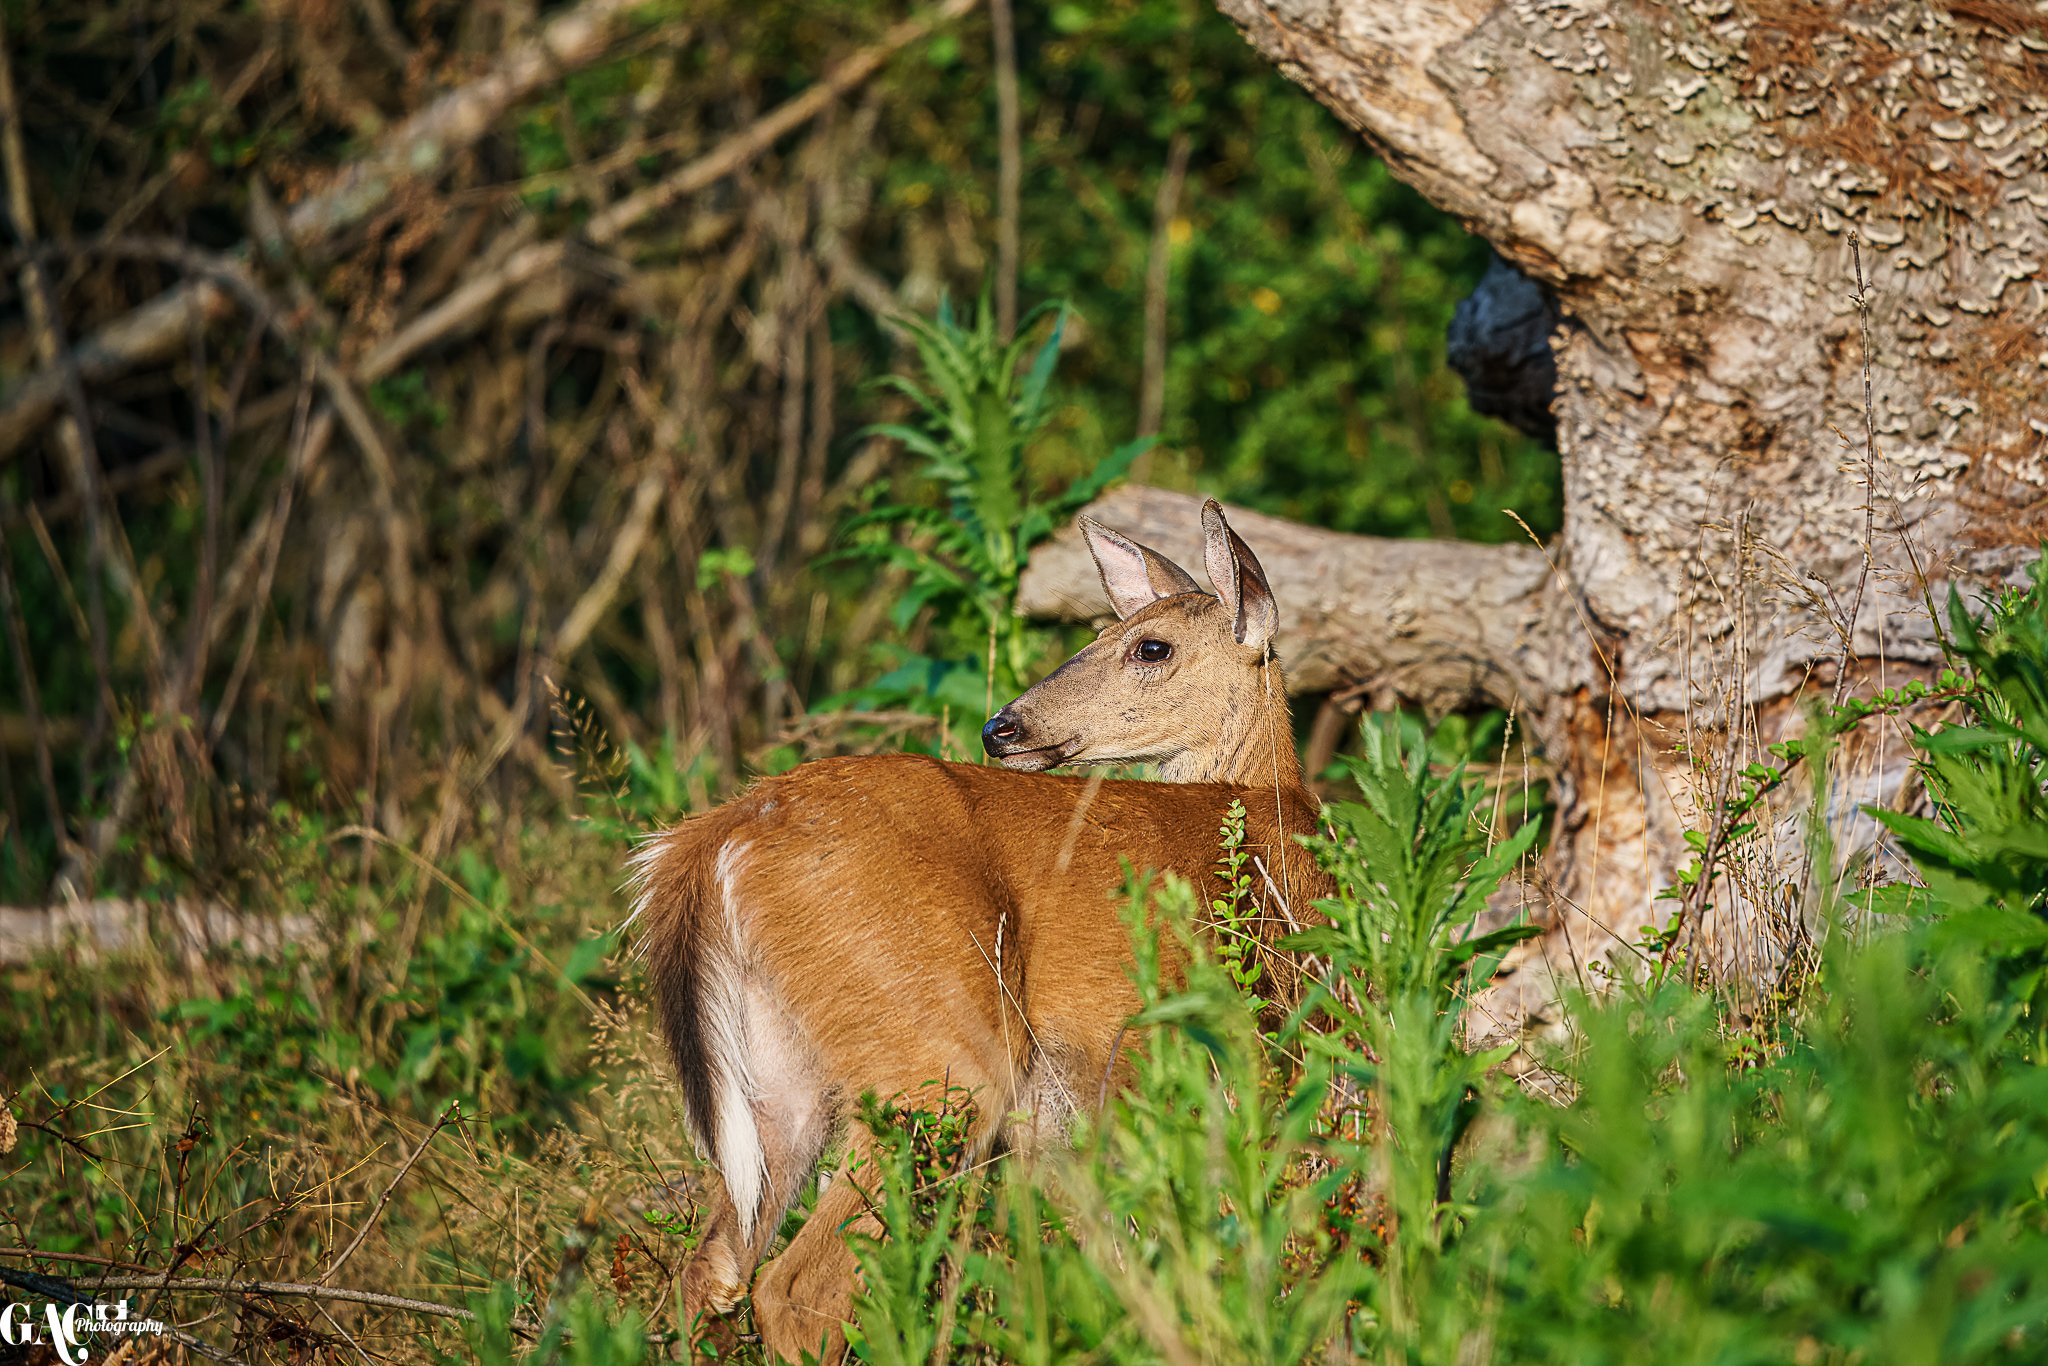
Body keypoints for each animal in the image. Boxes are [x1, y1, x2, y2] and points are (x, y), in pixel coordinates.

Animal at [626, 499, 1331, 1361]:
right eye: (1101, 633)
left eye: (1149, 645)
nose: (1002, 727)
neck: (1271, 808)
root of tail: (709, 840)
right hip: (940, 1045)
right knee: (795, 1287)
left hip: (780, 1077)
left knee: (710, 1270)